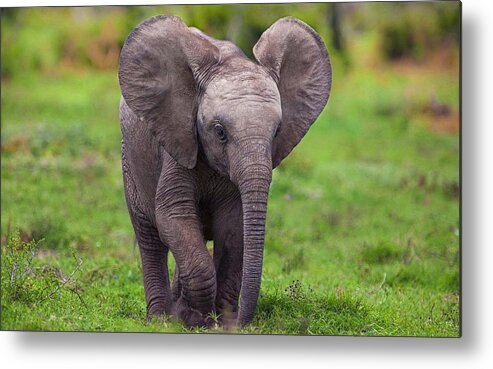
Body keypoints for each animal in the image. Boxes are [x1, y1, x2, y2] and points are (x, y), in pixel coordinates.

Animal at [117, 14, 330, 326]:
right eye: (219, 132)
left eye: (277, 131)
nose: (240, 321)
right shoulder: (177, 143)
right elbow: (173, 216)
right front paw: (196, 319)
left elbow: (233, 227)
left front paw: (218, 321)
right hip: (130, 160)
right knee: (149, 237)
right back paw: (160, 319)